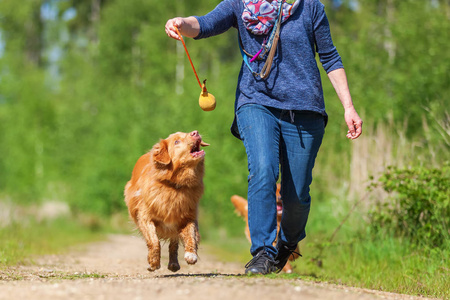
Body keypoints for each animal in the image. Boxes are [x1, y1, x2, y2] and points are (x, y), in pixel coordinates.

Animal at [125, 131, 209, 272]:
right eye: (176, 142)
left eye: (187, 133)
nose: (195, 132)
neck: (175, 186)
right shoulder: (145, 217)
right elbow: (154, 241)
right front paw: (153, 262)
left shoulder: (188, 216)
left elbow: (191, 235)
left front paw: (191, 254)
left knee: (174, 243)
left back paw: (174, 263)